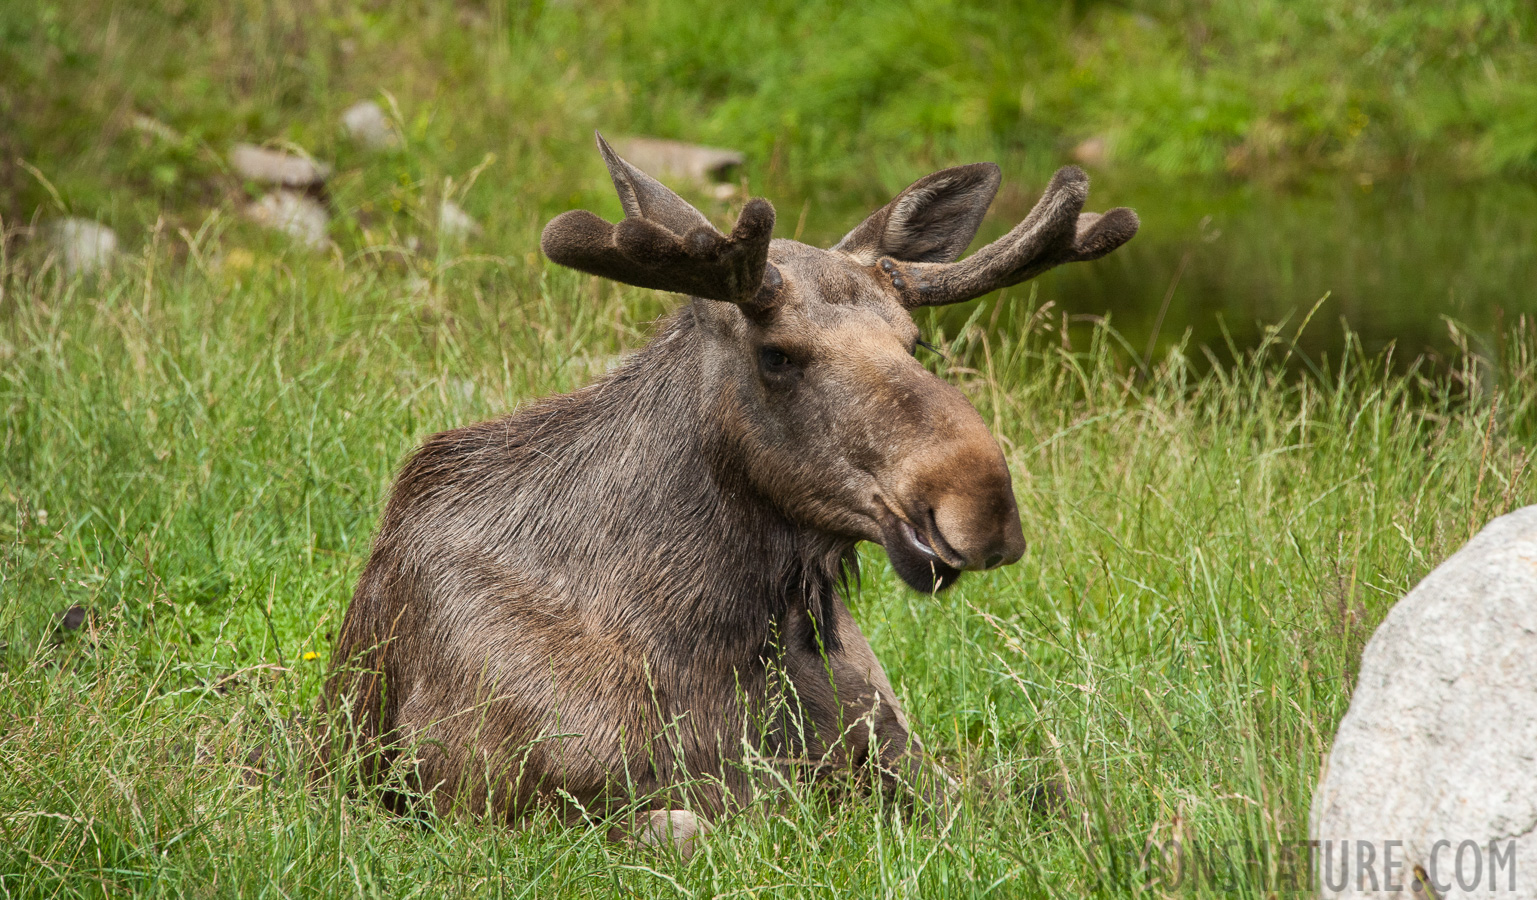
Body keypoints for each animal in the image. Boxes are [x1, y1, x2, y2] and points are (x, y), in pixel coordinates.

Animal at [321, 131, 1143, 841]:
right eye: (776, 354)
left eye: (915, 344)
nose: (980, 506)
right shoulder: (480, 803)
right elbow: (686, 826)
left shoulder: (901, 755)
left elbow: (1057, 790)